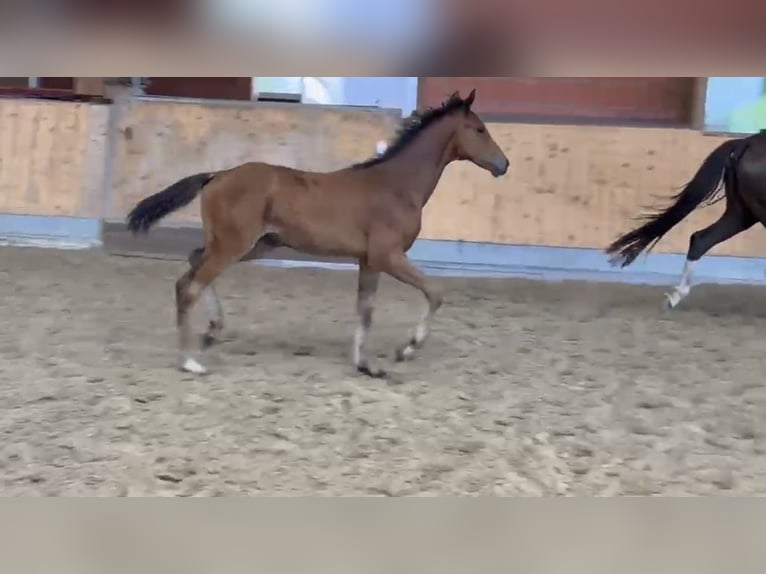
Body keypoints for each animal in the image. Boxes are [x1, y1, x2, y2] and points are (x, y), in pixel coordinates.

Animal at [125, 89, 510, 377]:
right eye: (479, 129)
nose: (503, 164)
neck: (397, 185)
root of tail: (216, 175)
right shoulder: (388, 255)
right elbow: (434, 292)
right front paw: (406, 350)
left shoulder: (369, 260)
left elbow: (365, 309)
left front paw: (366, 365)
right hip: (234, 244)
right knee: (189, 285)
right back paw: (190, 360)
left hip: (251, 244)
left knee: (192, 266)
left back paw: (210, 332)